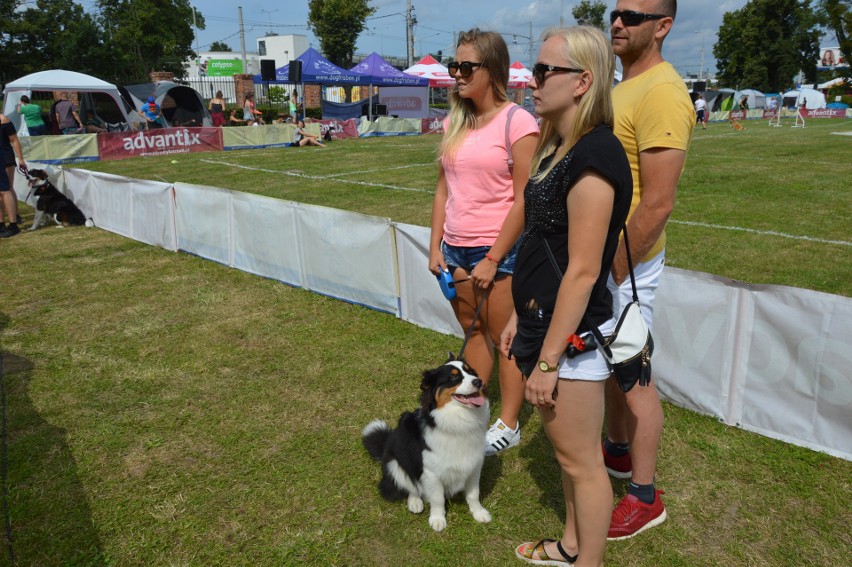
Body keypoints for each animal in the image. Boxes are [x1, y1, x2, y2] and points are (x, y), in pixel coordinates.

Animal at [362, 356, 492, 532]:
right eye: (453, 378)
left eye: (471, 372)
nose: (478, 381)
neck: (458, 420)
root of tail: (385, 445)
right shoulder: (431, 472)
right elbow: (437, 498)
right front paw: (437, 520)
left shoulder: (474, 466)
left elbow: (473, 494)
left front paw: (479, 513)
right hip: (394, 464)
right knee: (410, 485)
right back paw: (415, 503)